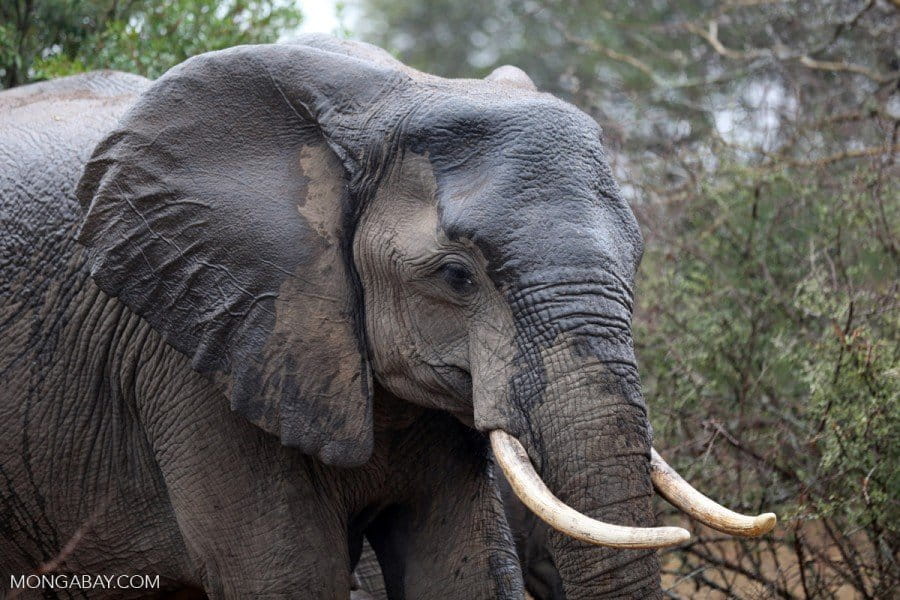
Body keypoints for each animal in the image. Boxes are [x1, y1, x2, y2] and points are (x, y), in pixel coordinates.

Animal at [0, 34, 772, 600]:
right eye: (457, 277)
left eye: (636, 261)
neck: (395, 91)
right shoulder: (202, 354)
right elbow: (288, 577)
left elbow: (462, 572)